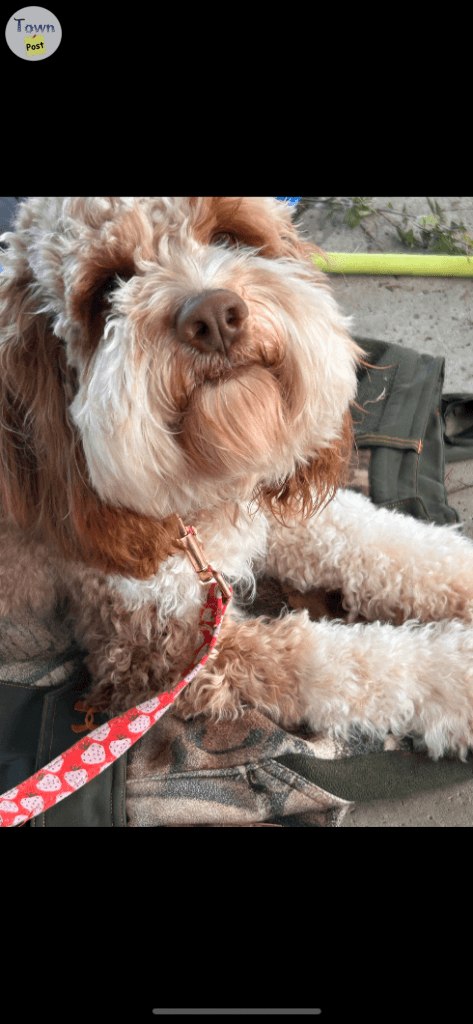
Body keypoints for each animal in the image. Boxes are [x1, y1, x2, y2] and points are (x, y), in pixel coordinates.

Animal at [0, 195, 473, 765]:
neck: (197, 506)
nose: (212, 316)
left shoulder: (264, 512)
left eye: (228, 236)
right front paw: (457, 673)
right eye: (109, 285)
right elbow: (343, 663)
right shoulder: (163, 645)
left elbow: (389, 543)